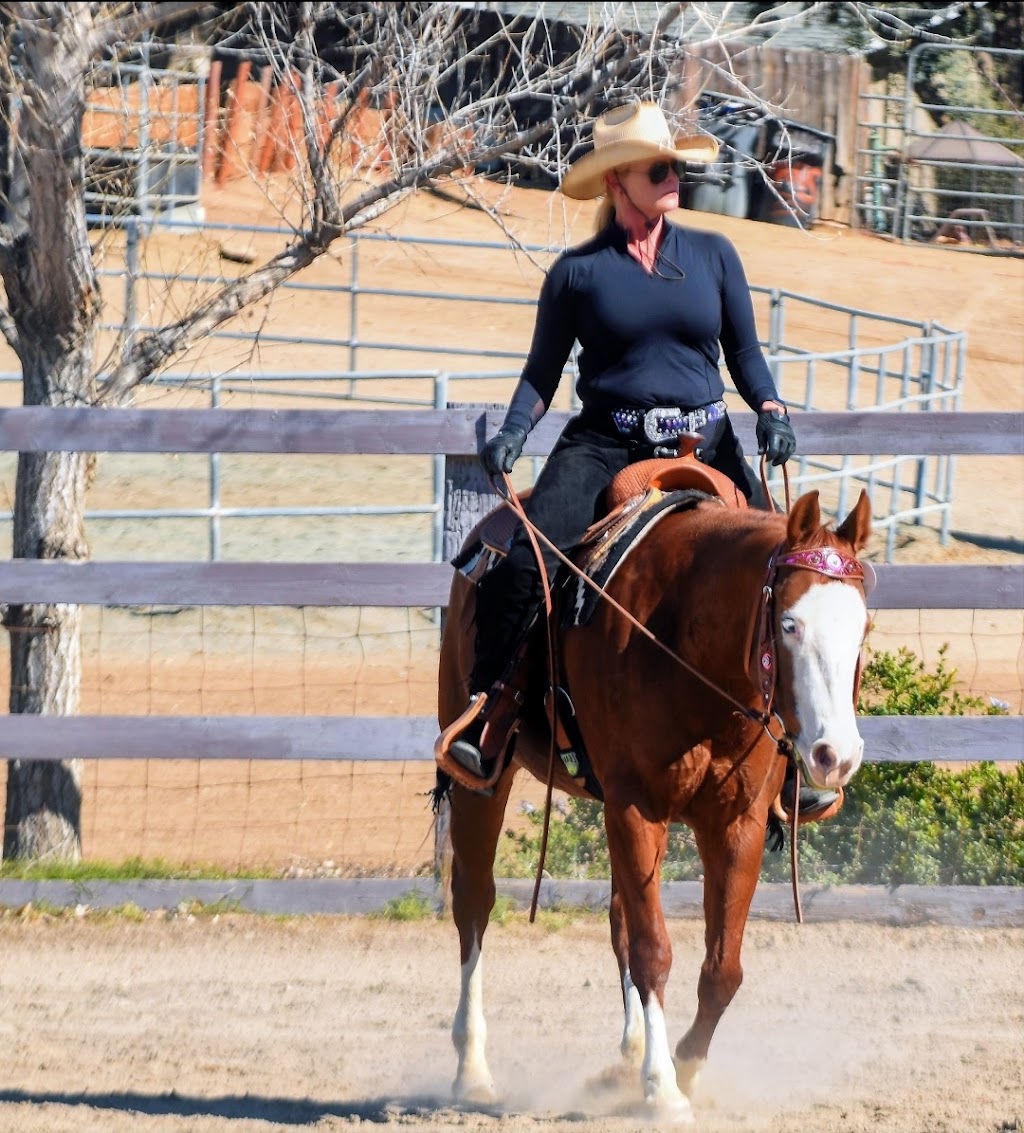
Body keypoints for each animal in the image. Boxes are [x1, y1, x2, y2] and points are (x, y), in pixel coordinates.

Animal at [434, 484, 874, 1114]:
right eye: (789, 625)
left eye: (863, 626)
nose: (835, 754)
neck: (685, 640)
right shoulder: (636, 807)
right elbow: (653, 950)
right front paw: (663, 1088)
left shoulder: (736, 823)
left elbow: (723, 968)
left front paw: (683, 1067)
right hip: (485, 778)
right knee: (474, 900)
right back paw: (472, 1070)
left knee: (619, 914)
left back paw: (629, 1053)